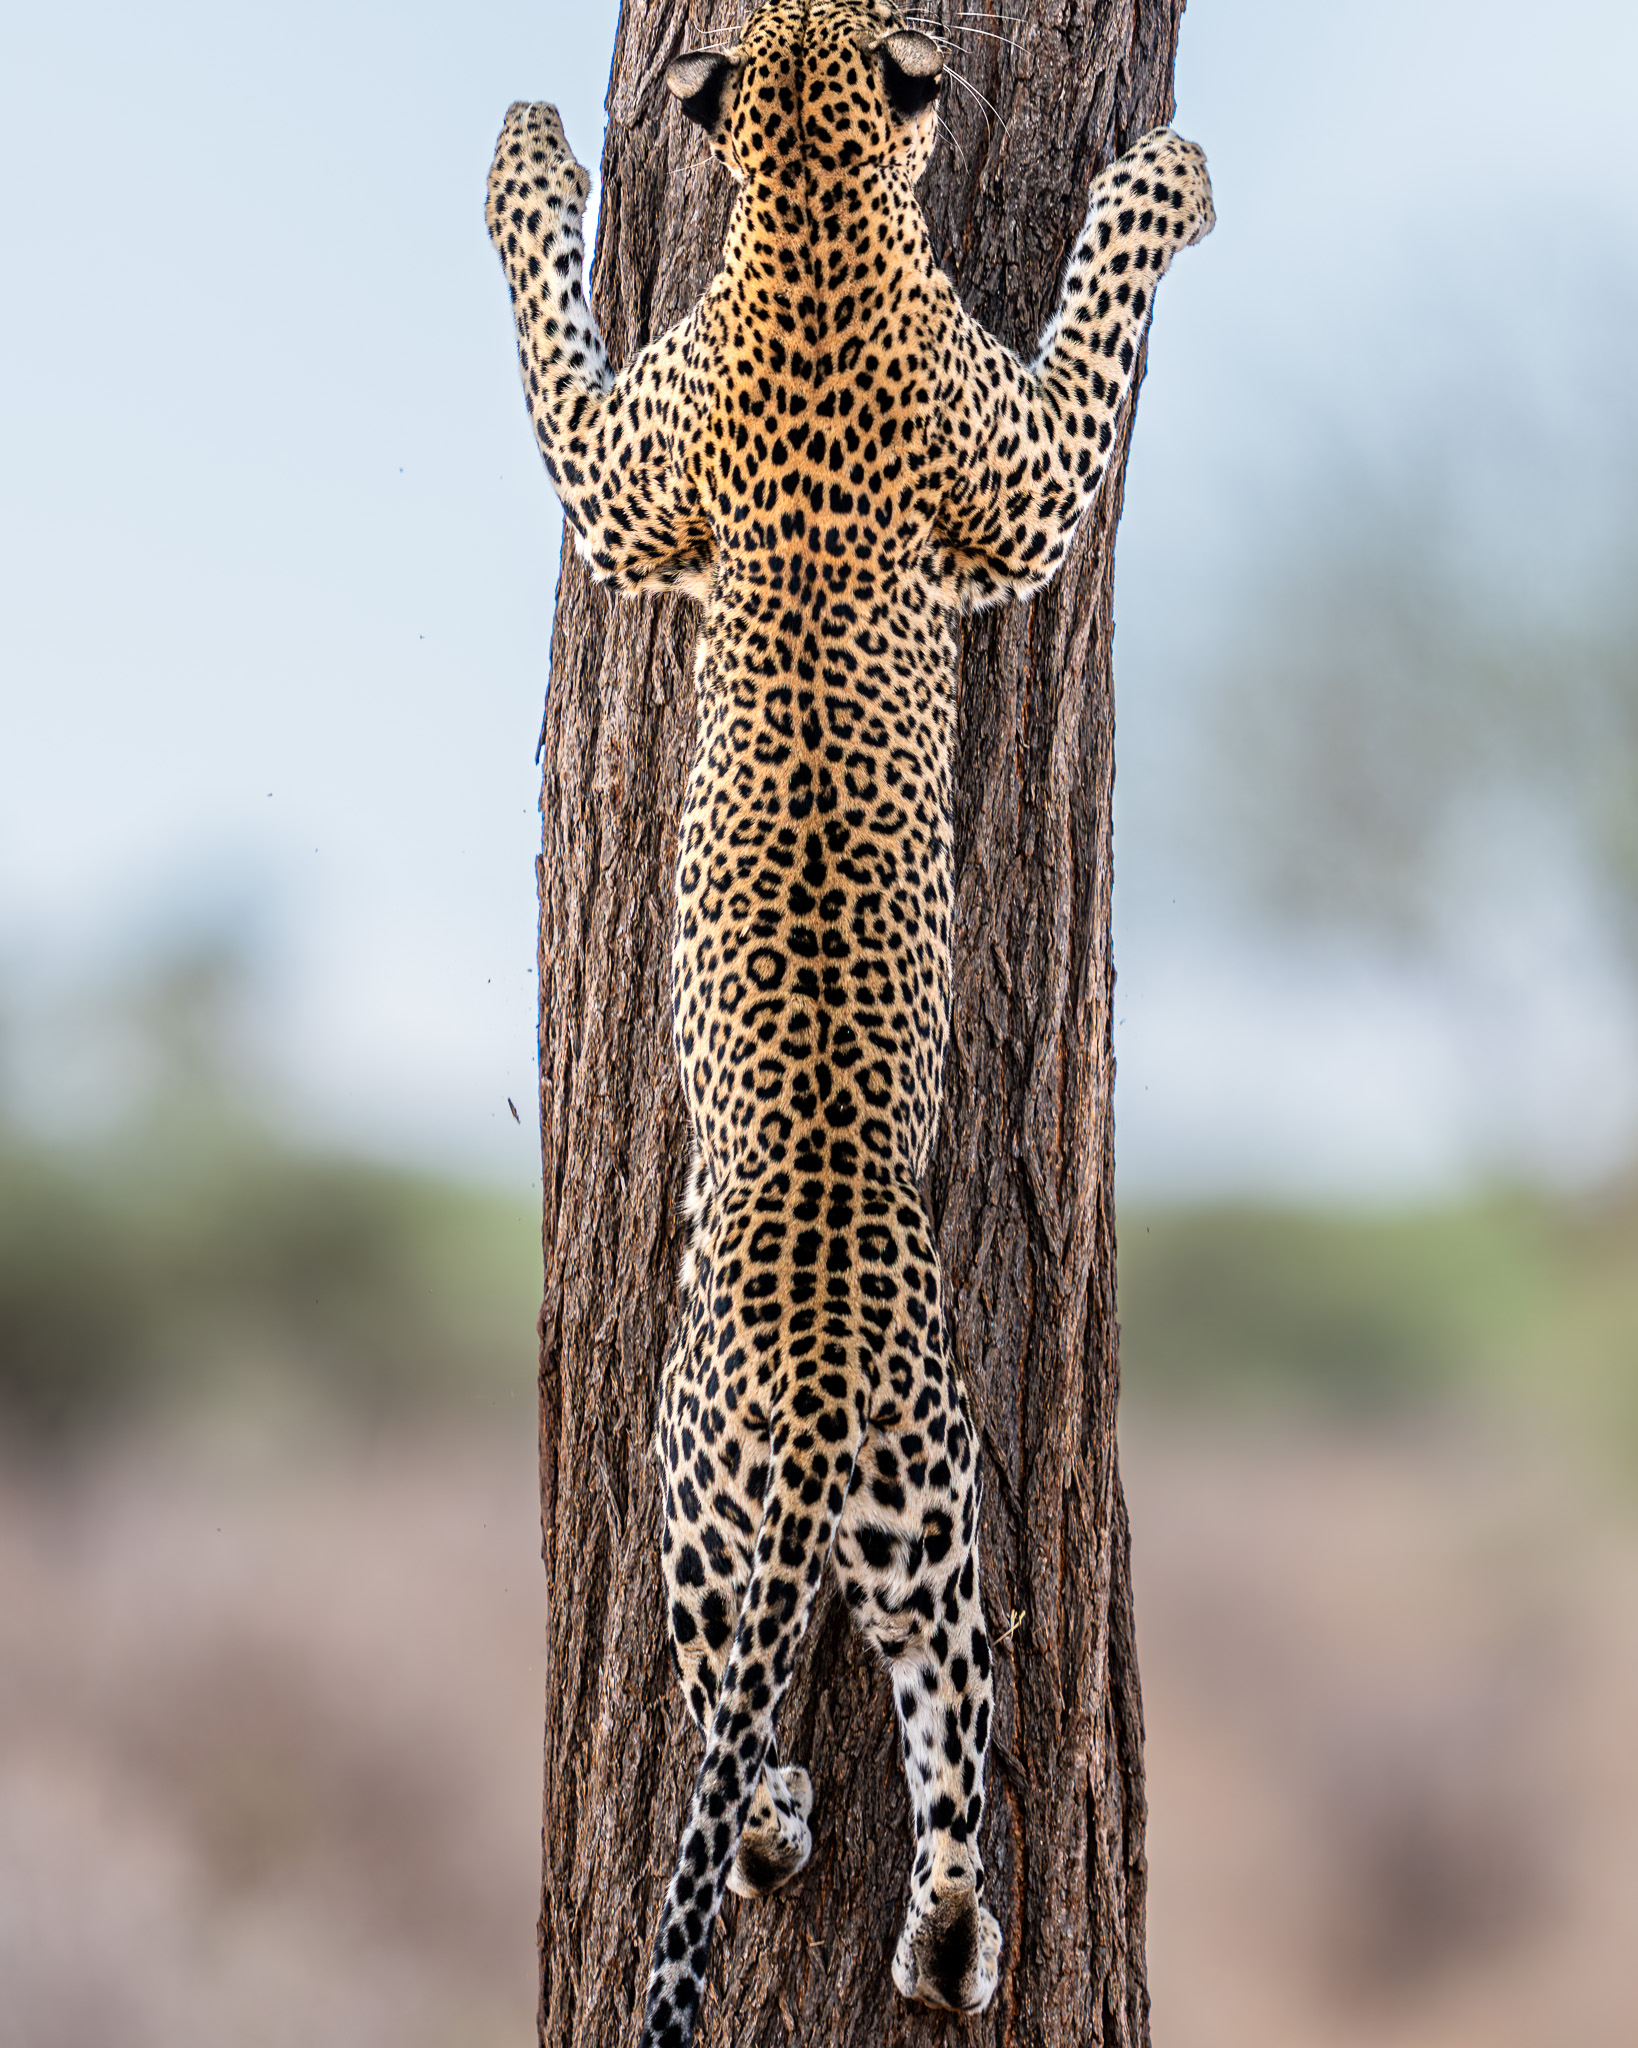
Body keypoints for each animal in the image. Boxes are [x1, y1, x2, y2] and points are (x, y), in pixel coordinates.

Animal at [486, 6, 1213, 2043]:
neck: (811, 214)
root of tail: (812, 1401)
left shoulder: (642, 481)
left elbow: (549, 339)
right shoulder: (1001, 479)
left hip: (775, 1538)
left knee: (800, 1753)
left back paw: (848, 1874)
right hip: (905, 1536)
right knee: (933, 1767)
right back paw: (936, 1935)